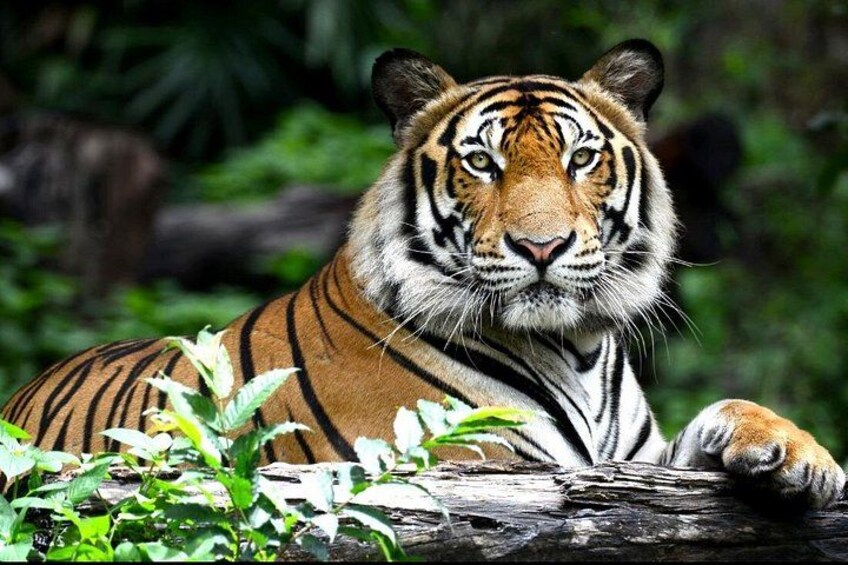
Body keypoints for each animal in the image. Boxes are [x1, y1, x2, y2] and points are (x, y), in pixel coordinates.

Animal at [3, 39, 844, 508]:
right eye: (482, 163)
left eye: (580, 158)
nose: (542, 246)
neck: (576, 348)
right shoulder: (474, 465)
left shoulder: (632, 463)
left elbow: (722, 414)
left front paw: (801, 456)